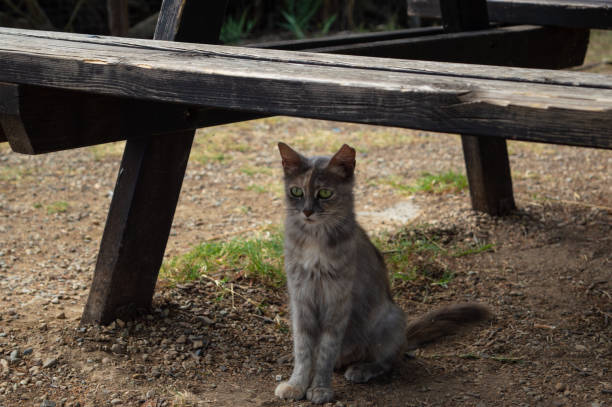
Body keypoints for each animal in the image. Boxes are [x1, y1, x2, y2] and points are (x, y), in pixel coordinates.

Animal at [274, 143, 490, 404]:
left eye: (324, 193)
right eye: (296, 191)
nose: (306, 212)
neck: (313, 239)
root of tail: (405, 336)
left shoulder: (337, 301)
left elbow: (326, 350)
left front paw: (320, 388)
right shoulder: (300, 297)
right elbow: (303, 349)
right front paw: (296, 385)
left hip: (388, 318)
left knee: (388, 360)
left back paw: (362, 369)